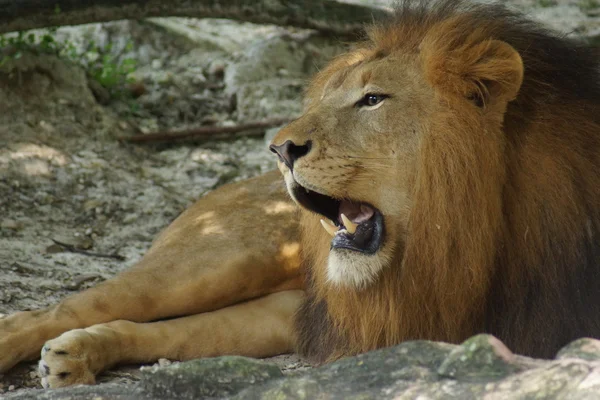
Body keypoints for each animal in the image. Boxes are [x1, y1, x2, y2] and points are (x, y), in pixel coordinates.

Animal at [1, 0, 600, 390]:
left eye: (373, 99)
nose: (280, 148)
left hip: (289, 307)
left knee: (171, 334)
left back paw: (80, 354)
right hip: (228, 256)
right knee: (57, 309)